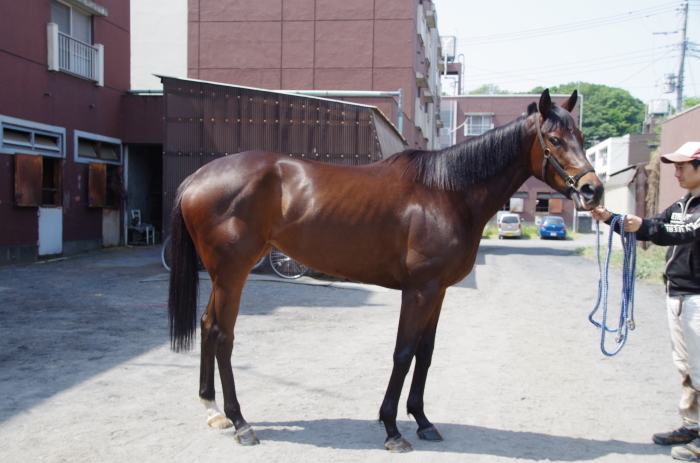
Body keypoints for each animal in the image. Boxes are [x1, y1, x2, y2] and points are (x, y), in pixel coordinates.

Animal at [165, 89, 600, 452]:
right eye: (554, 139)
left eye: (580, 135)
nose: (593, 190)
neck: (447, 193)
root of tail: (196, 177)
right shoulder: (419, 290)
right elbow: (403, 353)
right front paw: (392, 429)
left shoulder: (438, 291)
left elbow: (425, 353)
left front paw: (423, 421)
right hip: (232, 273)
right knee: (223, 335)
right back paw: (241, 422)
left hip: (222, 276)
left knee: (207, 325)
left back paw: (213, 409)